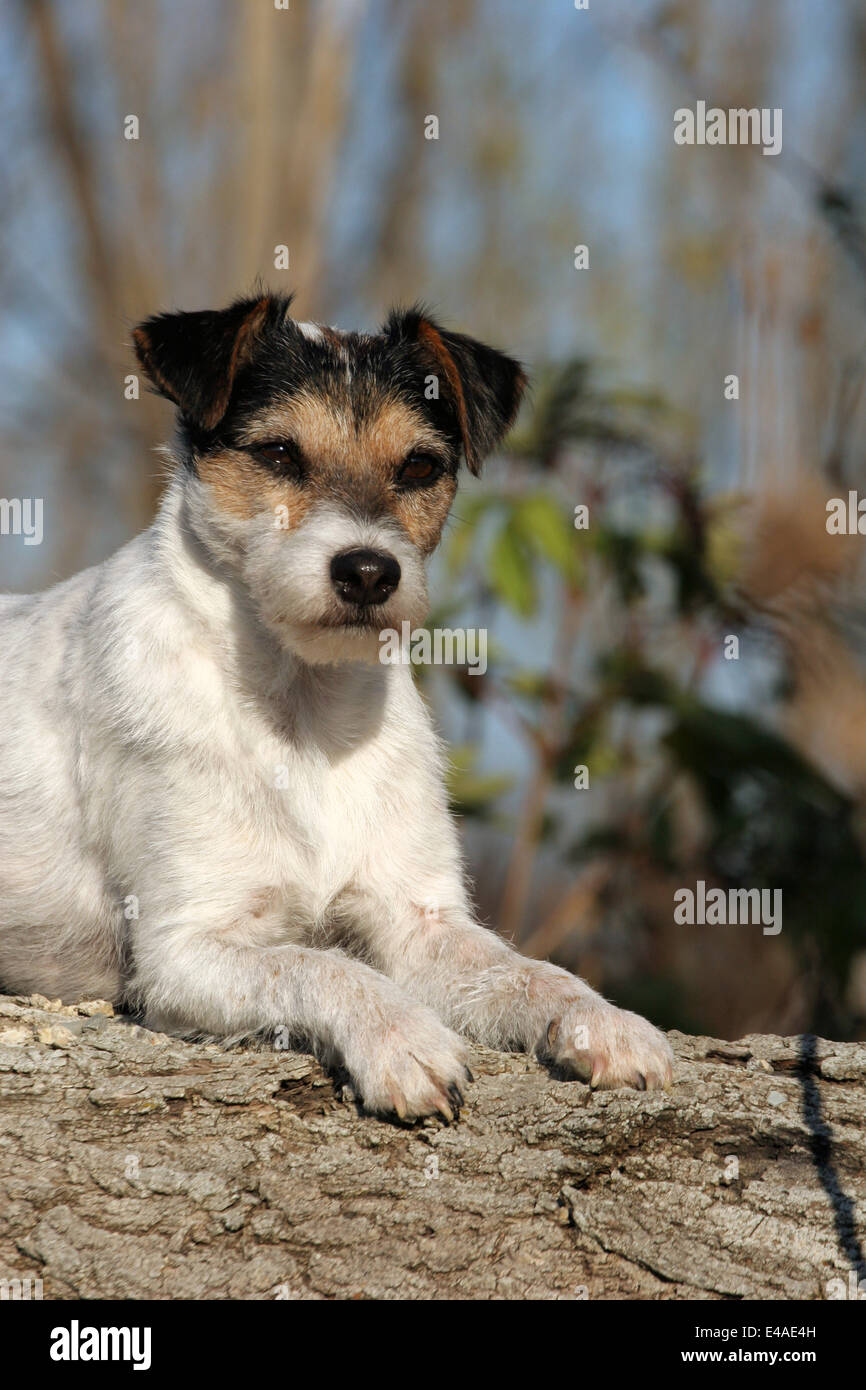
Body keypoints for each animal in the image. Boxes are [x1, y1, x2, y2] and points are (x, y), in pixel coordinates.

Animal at [0, 293, 675, 1117]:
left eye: (419, 466)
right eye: (279, 454)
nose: (367, 572)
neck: (305, 716)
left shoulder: (420, 923)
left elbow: (528, 971)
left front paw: (605, 1021)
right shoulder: (185, 951)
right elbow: (325, 967)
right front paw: (402, 1040)